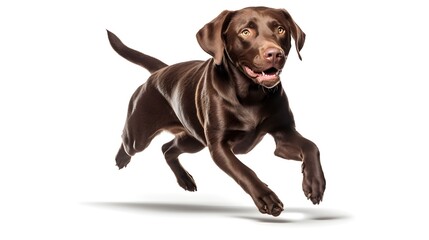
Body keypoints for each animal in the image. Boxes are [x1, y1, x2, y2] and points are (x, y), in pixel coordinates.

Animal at [107, 5, 324, 217]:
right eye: (245, 32)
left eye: (280, 30)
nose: (274, 53)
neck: (252, 95)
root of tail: (160, 71)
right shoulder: (219, 146)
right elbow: (244, 171)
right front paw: (266, 197)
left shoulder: (283, 134)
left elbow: (311, 146)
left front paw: (314, 184)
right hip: (140, 136)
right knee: (128, 140)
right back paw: (121, 158)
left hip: (192, 141)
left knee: (167, 149)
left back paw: (185, 179)